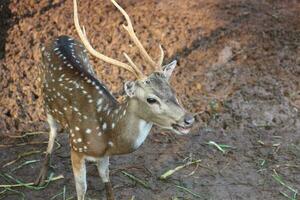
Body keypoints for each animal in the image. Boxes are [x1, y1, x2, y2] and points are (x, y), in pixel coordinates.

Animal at [34, 0, 195, 200]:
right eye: (151, 99)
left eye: (173, 90)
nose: (188, 119)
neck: (106, 134)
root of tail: (58, 37)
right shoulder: (76, 148)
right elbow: (82, 189)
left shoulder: (104, 156)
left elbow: (107, 182)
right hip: (45, 100)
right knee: (53, 130)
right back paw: (41, 175)